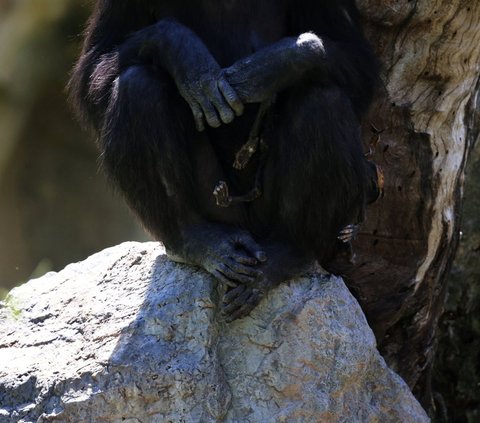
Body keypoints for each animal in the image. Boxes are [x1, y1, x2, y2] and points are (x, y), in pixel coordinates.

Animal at [69, 0, 380, 322]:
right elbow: (95, 67)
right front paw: (182, 51)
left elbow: (358, 61)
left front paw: (274, 65)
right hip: (221, 208)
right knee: (138, 85)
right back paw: (196, 239)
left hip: (264, 215)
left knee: (322, 96)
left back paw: (286, 251)